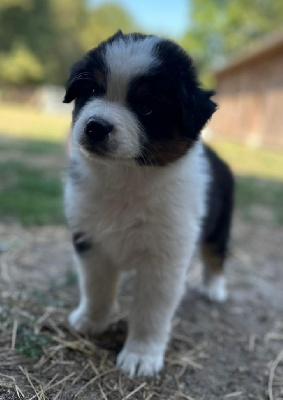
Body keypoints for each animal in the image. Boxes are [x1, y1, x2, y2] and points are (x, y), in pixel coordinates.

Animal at [64, 32, 235, 378]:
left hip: (220, 223)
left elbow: (151, 311)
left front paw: (141, 356)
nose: (95, 126)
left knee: (215, 254)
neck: (126, 178)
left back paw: (214, 288)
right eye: (92, 90)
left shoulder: (164, 257)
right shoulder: (90, 240)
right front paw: (90, 321)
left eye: (146, 106)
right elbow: (96, 288)